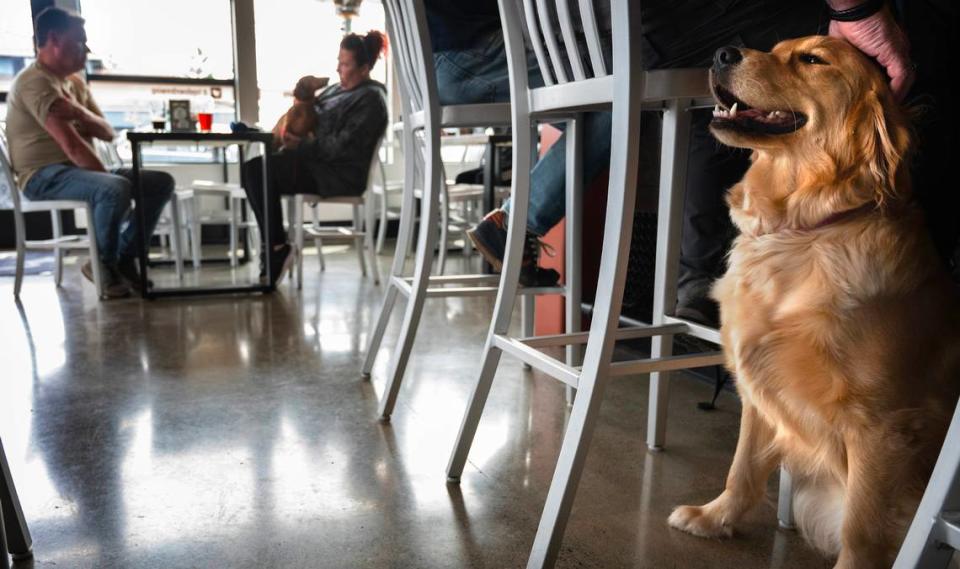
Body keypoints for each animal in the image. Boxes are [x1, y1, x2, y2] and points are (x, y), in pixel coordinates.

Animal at [668, 36, 960, 568]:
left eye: (812, 59)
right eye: (776, 48)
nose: (722, 53)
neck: (800, 228)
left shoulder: (882, 426)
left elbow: (862, 529)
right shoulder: (759, 385)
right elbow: (741, 469)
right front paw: (715, 518)